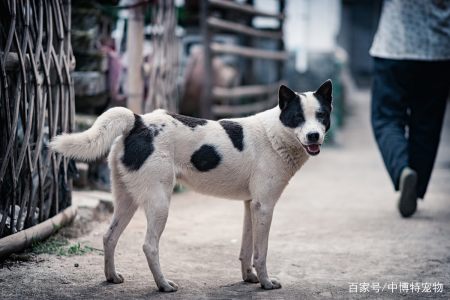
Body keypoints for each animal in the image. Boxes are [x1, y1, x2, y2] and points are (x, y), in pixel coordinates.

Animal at [51, 81, 332, 292]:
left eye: (321, 116)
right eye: (297, 117)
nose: (314, 136)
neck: (275, 135)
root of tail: (138, 121)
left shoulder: (251, 205)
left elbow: (246, 249)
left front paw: (248, 278)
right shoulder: (264, 206)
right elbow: (260, 253)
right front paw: (265, 283)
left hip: (126, 200)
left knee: (109, 237)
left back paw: (111, 277)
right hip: (159, 203)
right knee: (149, 245)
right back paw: (163, 285)